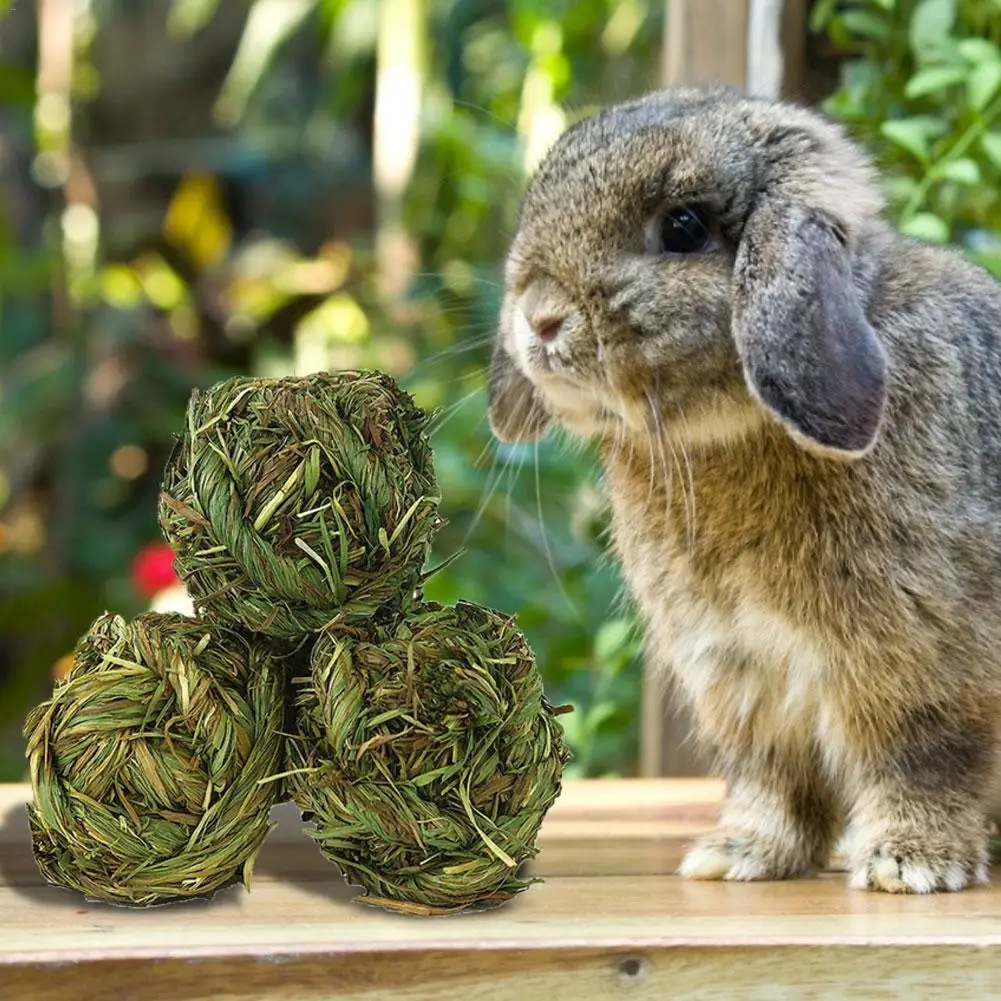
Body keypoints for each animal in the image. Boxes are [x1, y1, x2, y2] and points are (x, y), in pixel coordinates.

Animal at [487, 84, 1001, 894]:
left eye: (683, 227)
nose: (538, 320)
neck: (734, 431)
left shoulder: (924, 664)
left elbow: (925, 758)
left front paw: (909, 863)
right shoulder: (742, 677)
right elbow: (774, 778)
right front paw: (738, 855)